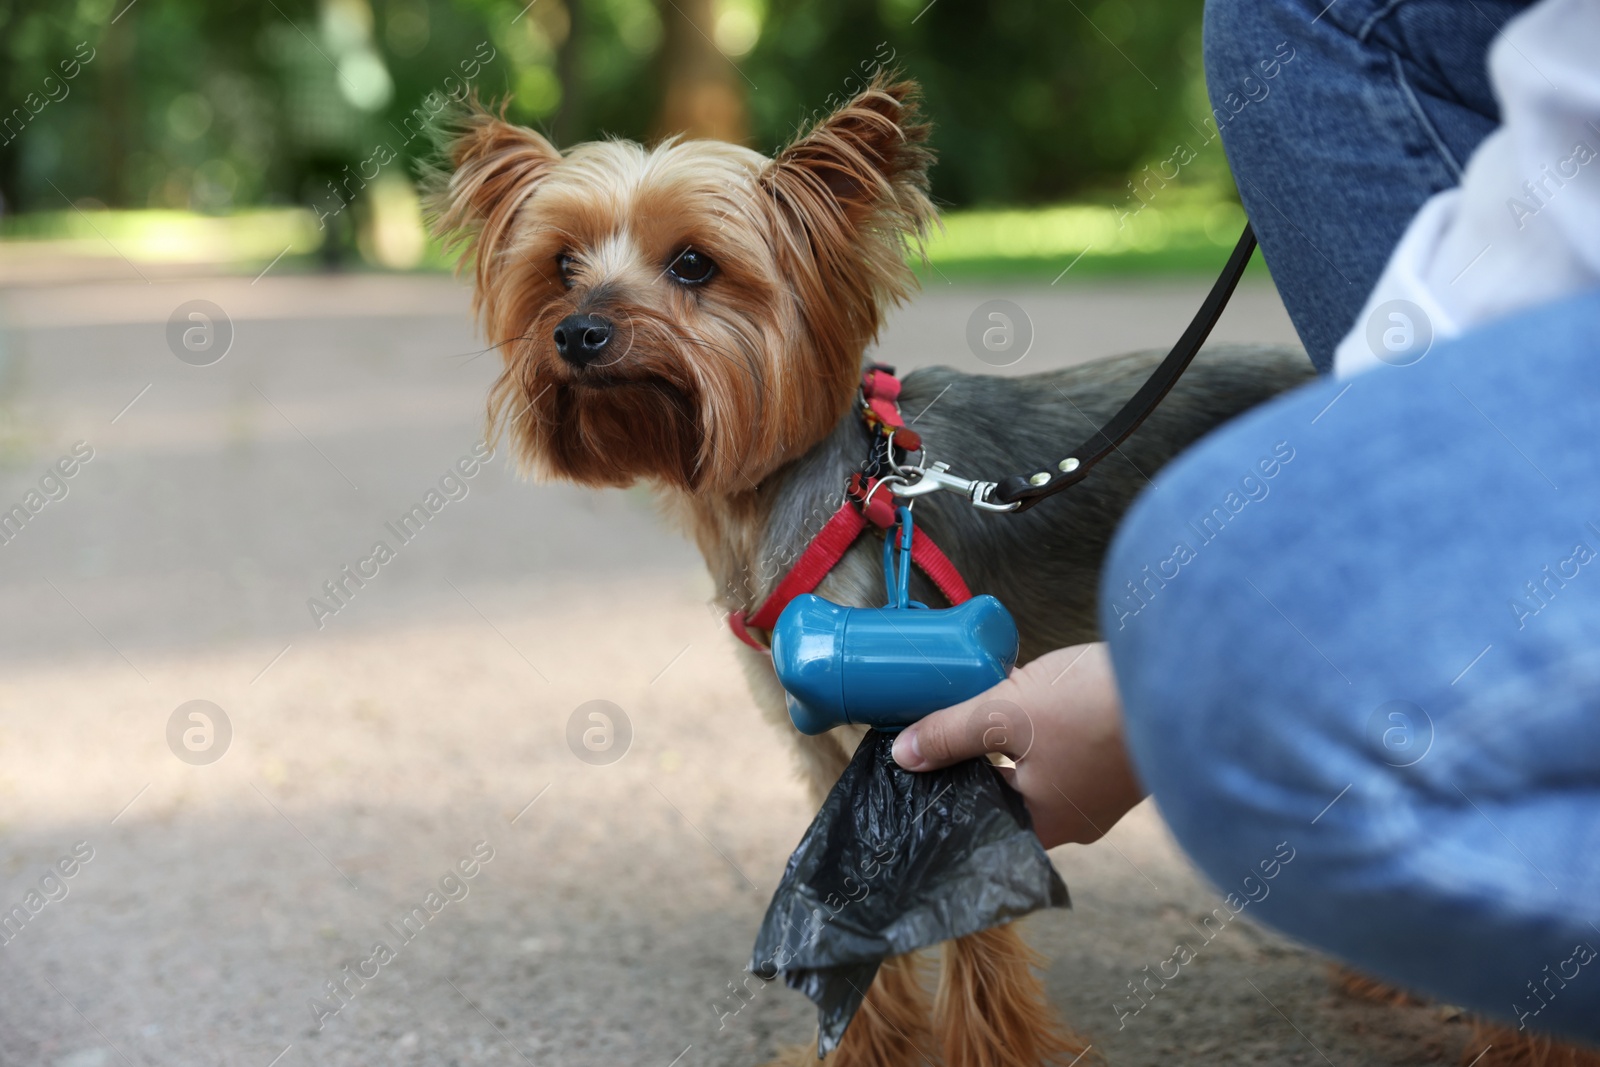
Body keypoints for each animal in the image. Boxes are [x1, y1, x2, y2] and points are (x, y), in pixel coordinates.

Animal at [432, 77, 1318, 1067]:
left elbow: (965, 918)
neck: (793, 493)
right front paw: (866, 1046)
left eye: (694, 264)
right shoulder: (820, 745)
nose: (579, 330)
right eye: (560, 266)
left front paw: (989, 1050)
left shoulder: (934, 734)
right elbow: (844, 894)